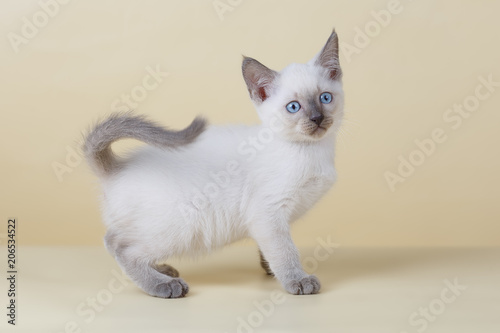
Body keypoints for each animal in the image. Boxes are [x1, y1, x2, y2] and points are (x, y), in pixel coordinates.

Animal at [84, 29, 346, 296]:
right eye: (293, 107)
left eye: (325, 98)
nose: (317, 118)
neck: (313, 152)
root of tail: (116, 167)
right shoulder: (268, 212)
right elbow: (285, 252)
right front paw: (298, 280)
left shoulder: (270, 222)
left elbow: (271, 248)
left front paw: (269, 270)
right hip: (180, 228)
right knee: (123, 248)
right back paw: (164, 284)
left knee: (113, 239)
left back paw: (162, 270)